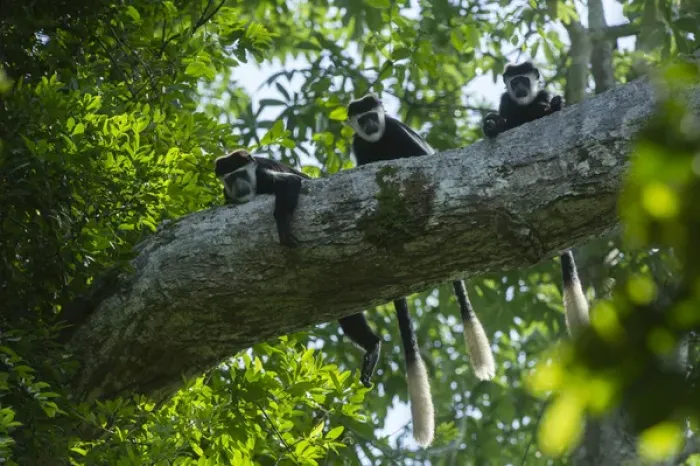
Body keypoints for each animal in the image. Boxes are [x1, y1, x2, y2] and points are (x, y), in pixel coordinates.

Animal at [340, 93, 496, 447]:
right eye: (362, 118)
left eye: (374, 115)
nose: (371, 124)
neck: (378, 138)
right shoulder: (359, 144)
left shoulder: (396, 130)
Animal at [481, 61, 590, 335]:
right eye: (514, 81)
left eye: (524, 80)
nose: (519, 87)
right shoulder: (506, 102)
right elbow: (503, 122)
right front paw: (491, 125)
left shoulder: (541, 95)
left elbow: (546, 107)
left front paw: (556, 104)